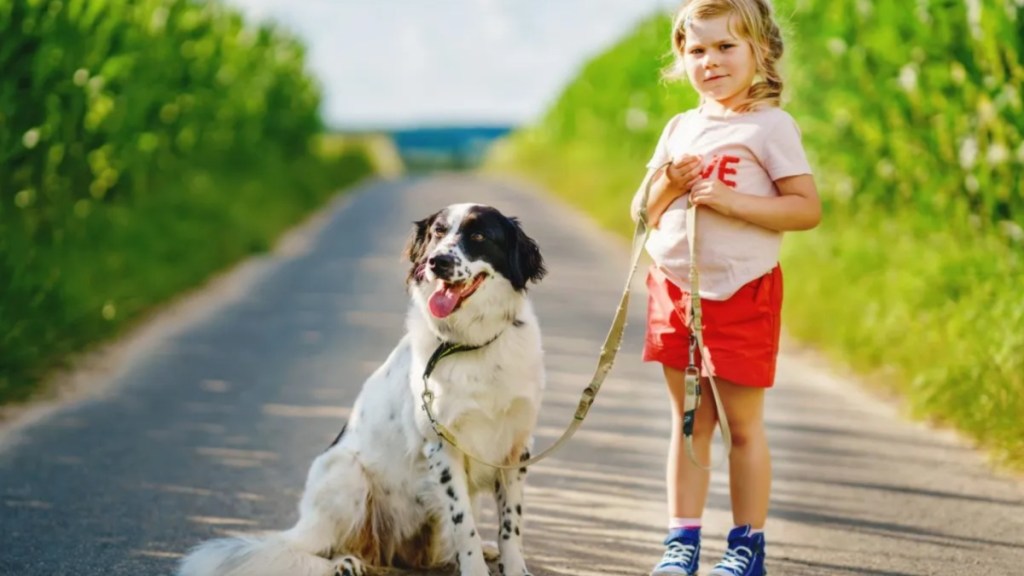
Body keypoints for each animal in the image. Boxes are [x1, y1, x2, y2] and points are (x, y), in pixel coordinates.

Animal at [178, 202, 544, 573]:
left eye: (479, 236)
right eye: (438, 233)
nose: (436, 261)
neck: (470, 344)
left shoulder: (517, 448)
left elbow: (511, 525)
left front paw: (514, 568)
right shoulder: (442, 447)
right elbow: (463, 524)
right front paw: (475, 568)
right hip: (346, 473)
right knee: (313, 550)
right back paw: (344, 564)